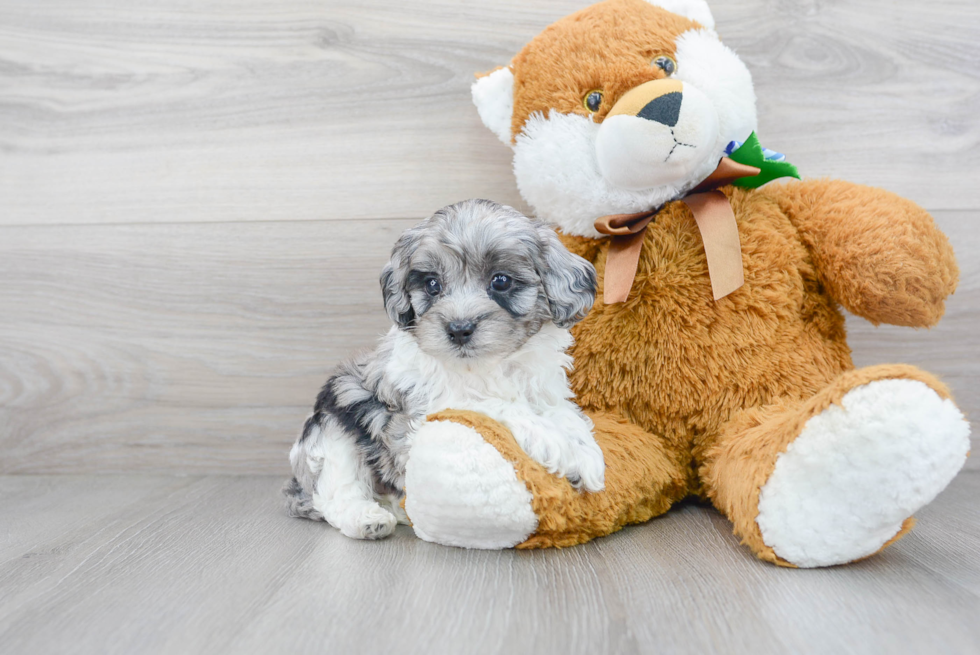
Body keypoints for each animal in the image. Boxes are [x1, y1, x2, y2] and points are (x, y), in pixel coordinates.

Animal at [282, 201, 604, 544]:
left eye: (501, 281)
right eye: (432, 284)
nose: (459, 328)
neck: (488, 365)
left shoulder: (545, 390)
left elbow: (564, 414)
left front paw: (584, 451)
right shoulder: (426, 408)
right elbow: (497, 406)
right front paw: (561, 447)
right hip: (332, 427)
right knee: (335, 494)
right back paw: (367, 518)